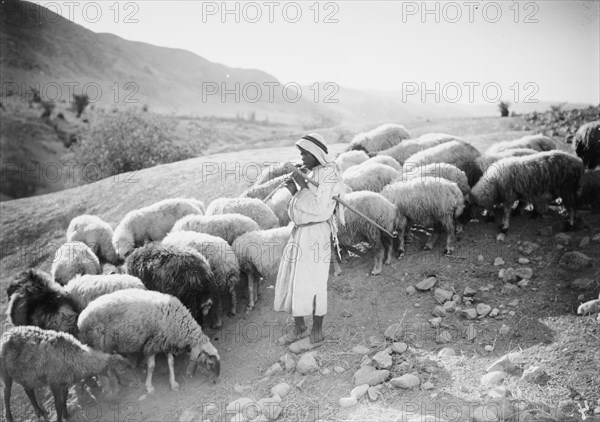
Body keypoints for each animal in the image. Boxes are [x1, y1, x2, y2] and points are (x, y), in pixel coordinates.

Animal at [0, 326, 138, 422]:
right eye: (123, 370)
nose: (137, 384)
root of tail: (7, 332)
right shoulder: (54, 382)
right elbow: (57, 404)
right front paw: (59, 418)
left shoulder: (65, 382)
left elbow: (64, 400)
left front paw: (66, 415)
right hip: (5, 373)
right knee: (6, 394)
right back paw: (9, 417)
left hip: (27, 375)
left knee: (28, 391)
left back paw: (39, 412)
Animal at [77, 288, 220, 394]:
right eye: (209, 363)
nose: (215, 381)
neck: (178, 322)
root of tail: (81, 318)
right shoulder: (153, 344)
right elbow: (151, 366)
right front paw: (149, 387)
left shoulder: (166, 342)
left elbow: (171, 362)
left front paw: (173, 383)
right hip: (99, 343)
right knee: (102, 367)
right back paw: (109, 388)